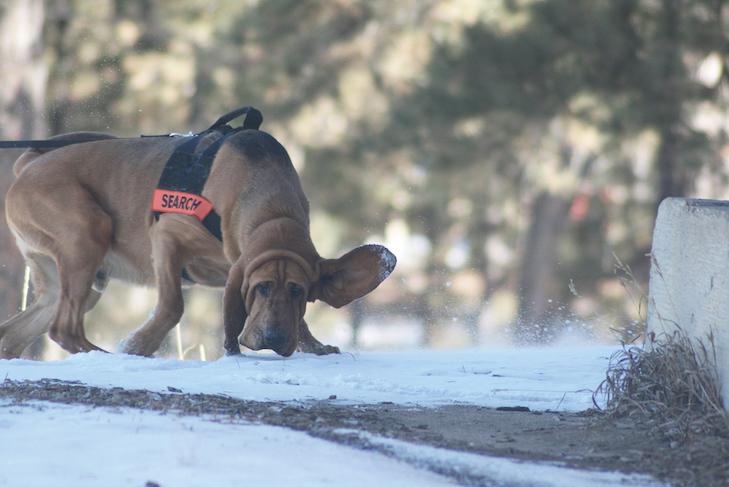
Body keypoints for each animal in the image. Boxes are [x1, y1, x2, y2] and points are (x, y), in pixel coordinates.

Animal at [0, 123, 396, 358]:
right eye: (262, 287)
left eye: (299, 291)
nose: (271, 339)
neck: (271, 211)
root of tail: (28, 167)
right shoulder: (166, 237)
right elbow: (173, 305)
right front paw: (139, 344)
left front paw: (313, 346)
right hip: (87, 232)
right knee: (64, 330)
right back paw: (102, 356)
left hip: (69, 279)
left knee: (17, 333)